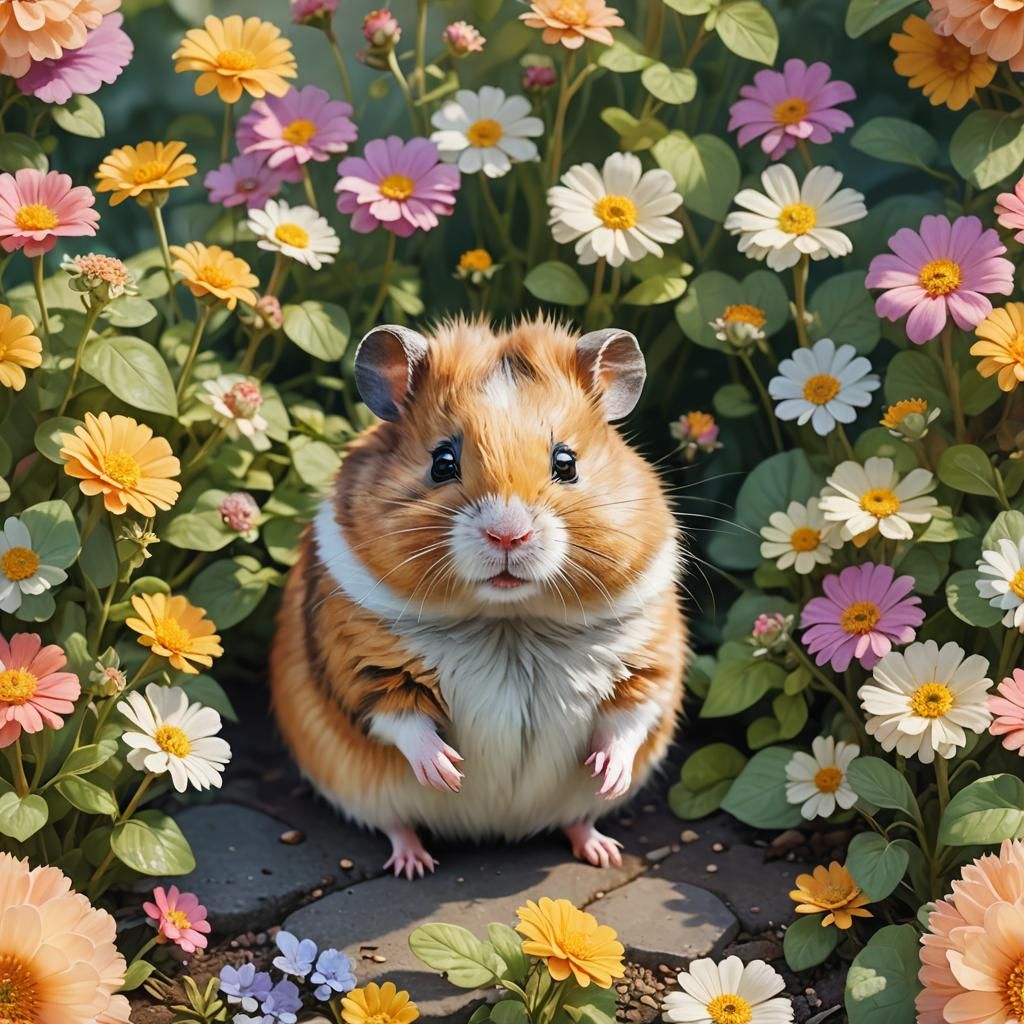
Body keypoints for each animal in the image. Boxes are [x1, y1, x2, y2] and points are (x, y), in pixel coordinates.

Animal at [270, 316, 686, 878]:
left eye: (566, 463)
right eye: (442, 462)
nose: (508, 535)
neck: (508, 620)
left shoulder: (650, 661)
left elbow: (629, 718)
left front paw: (606, 773)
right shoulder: (361, 667)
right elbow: (402, 720)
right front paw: (450, 772)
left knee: (578, 818)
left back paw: (603, 851)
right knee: (395, 824)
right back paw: (414, 864)